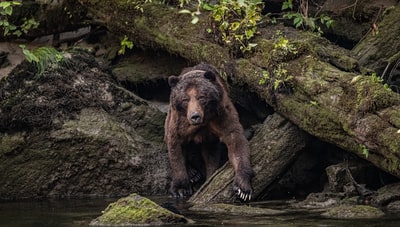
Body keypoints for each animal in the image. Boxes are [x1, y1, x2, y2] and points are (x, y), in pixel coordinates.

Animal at [165, 62, 253, 200]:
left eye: (201, 97)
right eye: (185, 99)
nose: (195, 116)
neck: (203, 122)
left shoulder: (221, 115)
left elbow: (236, 142)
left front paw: (242, 188)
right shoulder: (179, 121)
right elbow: (175, 145)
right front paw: (180, 189)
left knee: (211, 154)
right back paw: (193, 173)